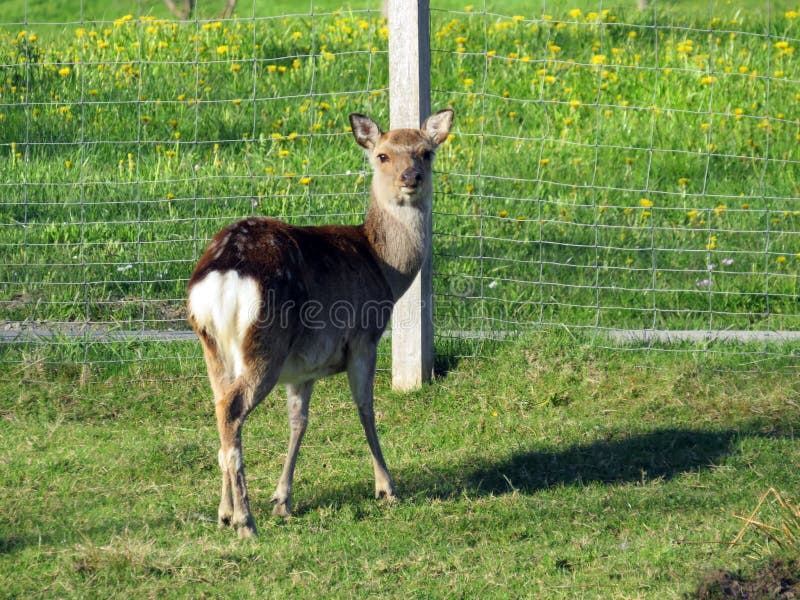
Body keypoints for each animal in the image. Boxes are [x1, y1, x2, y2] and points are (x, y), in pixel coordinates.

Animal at [184, 109, 454, 540]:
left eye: (426, 152)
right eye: (382, 155)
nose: (410, 178)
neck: (383, 267)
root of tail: (222, 273)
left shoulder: (304, 367)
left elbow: (299, 422)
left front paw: (283, 501)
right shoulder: (365, 335)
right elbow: (365, 407)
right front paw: (387, 487)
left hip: (212, 347)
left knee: (220, 410)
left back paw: (225, 512)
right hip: (265, 344)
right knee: (232, 409)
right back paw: (245, 522)